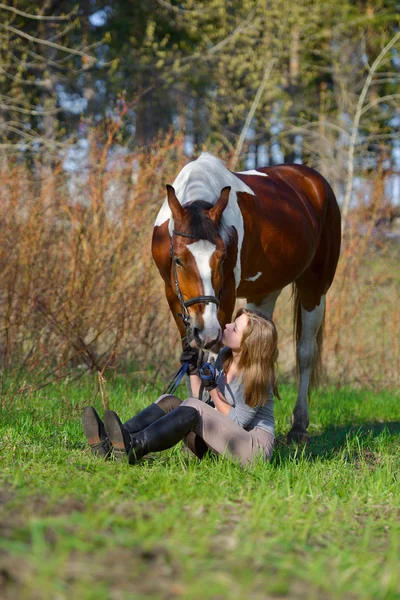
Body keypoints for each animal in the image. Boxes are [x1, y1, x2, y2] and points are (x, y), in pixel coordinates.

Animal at [152, 151, 340, 440]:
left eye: (221, 259)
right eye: (179, 260)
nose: (207, 331)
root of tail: (314, 182)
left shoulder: (225, 297)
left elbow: (214, 357)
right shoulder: (173, 296)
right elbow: (192, 354)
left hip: (315, 288)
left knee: (305, 352)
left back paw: (299, 425)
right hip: (264, 293)